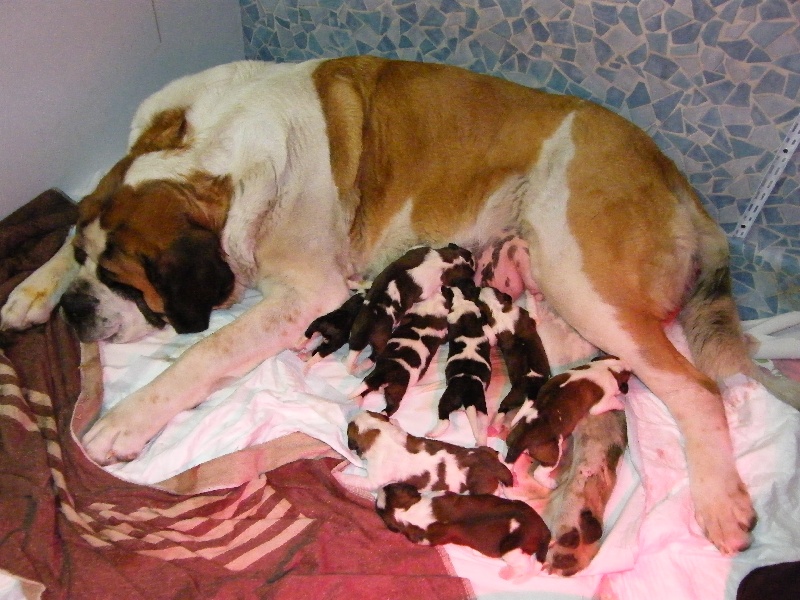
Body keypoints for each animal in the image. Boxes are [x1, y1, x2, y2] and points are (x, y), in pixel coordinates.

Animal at [346, 410, 512, 494]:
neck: (378, 431)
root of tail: (492, 465)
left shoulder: (373, 480)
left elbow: (356, 480)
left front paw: (341, 477)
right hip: (486, 451)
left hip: (482, 489)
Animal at [376, 482, 552, 580]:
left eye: (389, 487)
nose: (380, 488)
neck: (408, 511)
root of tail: (544, 530)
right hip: (520, 505)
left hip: (512, 551)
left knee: (526, 566)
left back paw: (508, 574)